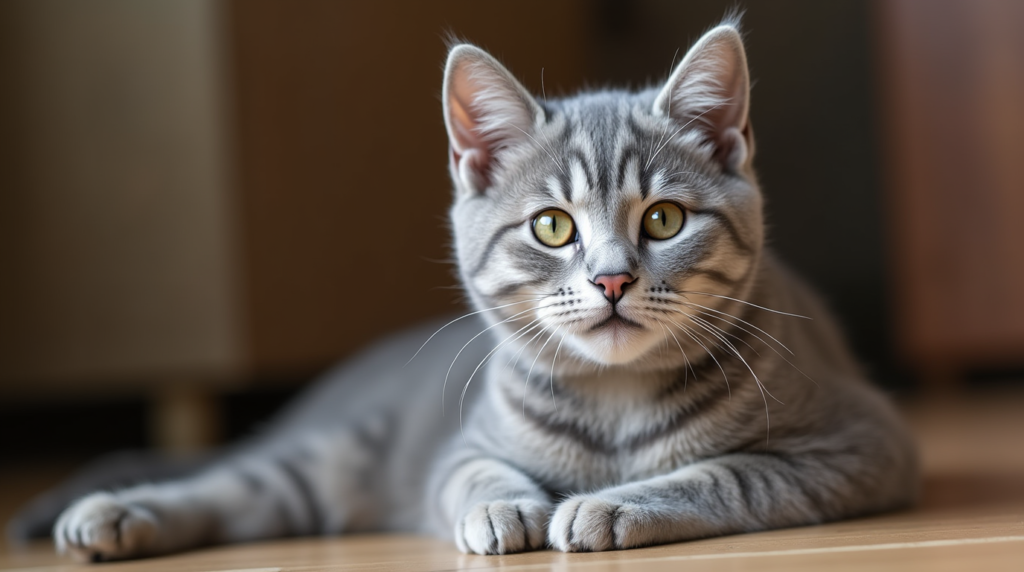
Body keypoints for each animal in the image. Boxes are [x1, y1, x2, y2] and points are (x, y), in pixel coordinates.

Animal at [29, 21, 921, 560]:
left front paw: (614, 504)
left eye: (664, 219)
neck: (615, 400)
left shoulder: (860, 444)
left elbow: (728, 472)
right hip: (338, 457)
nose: (612, 277)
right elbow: (474, 473)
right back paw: (114, 513)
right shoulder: (461, 446)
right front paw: (502, 506)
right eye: (553, 227)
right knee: (239, 483)